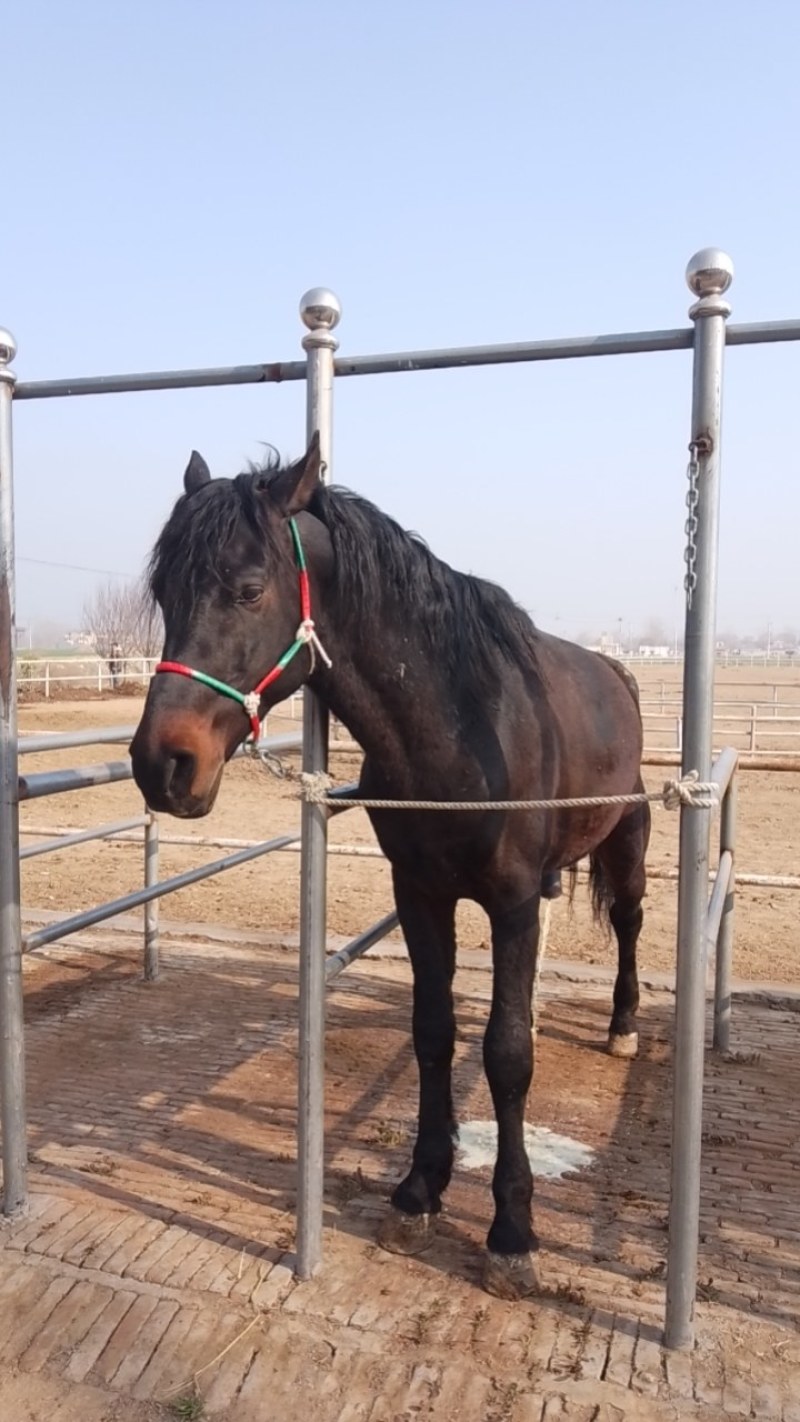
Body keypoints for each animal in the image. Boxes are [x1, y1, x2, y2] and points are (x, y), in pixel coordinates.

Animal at [130, 432, 650, 1300]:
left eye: (248, 589)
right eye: (164, 593)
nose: (161, 765)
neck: (463, 725)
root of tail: (617, 671)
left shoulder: (509, 902)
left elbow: (507, 1055)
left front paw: (512, 1232)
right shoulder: (421, 896)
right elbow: (434, 1033)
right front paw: (419, 1188)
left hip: (630, 842)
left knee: (633, 923)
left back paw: (622, 1027)